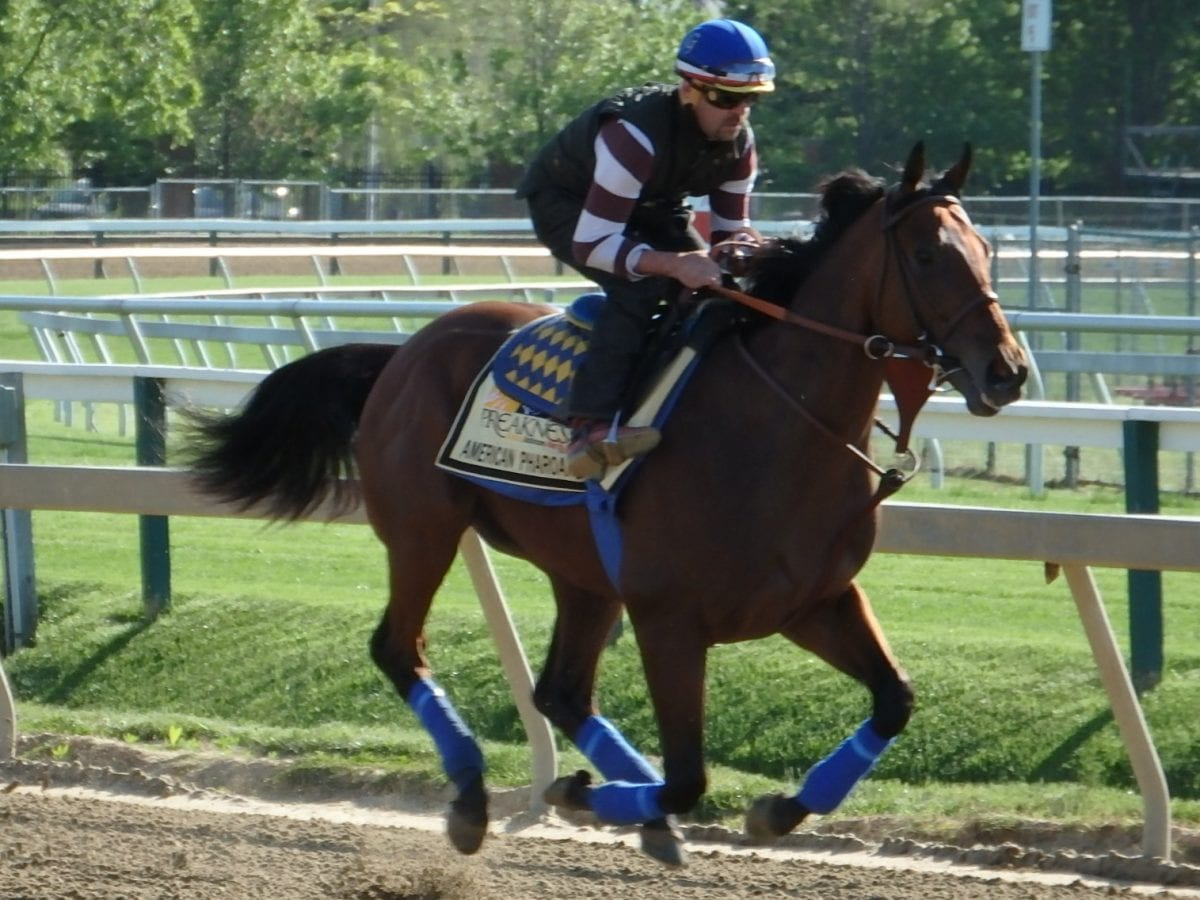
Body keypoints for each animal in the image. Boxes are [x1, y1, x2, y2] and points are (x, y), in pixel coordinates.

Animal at [187, 144, 1032, 868]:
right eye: (927, 256)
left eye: (986, 251)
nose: (1008, 371)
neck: (778, 427)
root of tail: (403, 351)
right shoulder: (670, 620)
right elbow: (689, 776)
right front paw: (592, 794)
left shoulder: (814, 600)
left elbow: (894, 700)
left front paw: (776, 809)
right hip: (423, 530)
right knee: (401, 649)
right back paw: (474, 797)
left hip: (582, 573)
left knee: (560, 690)